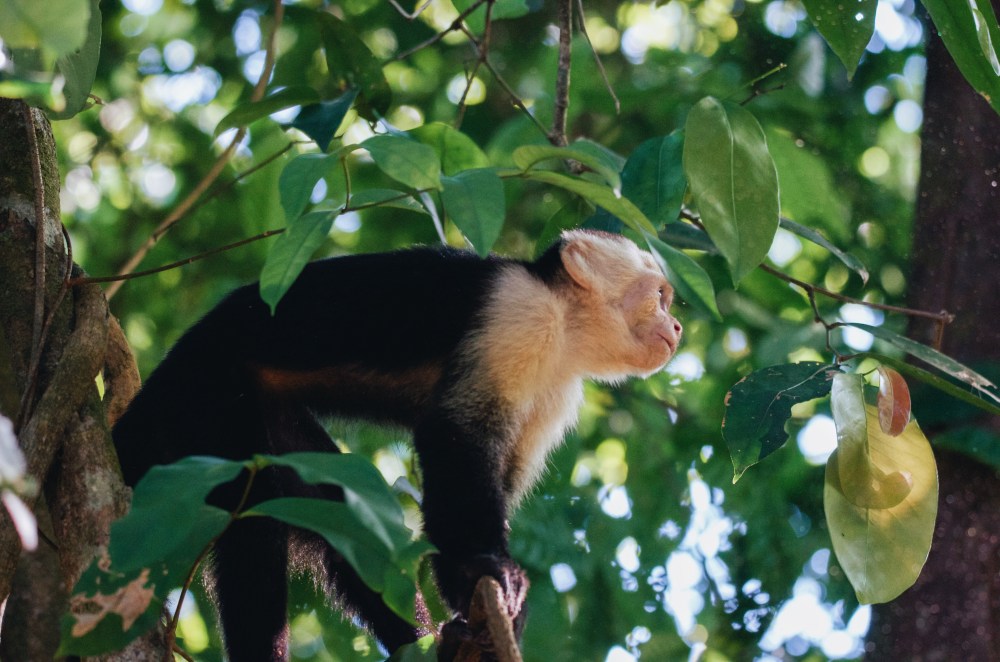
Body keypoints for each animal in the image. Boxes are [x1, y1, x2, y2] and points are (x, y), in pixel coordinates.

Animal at [112, 229, 682, 661]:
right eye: (659, 296)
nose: (676, 325)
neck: (566, 326)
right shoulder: (519, 314)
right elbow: (454, 439)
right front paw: (484, 571)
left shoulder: (559, 390)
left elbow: (496, 476)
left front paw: (487, 612)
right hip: (207, 394)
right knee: (252, 523)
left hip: (261, 412)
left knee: (335, 508)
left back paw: (430, 645)